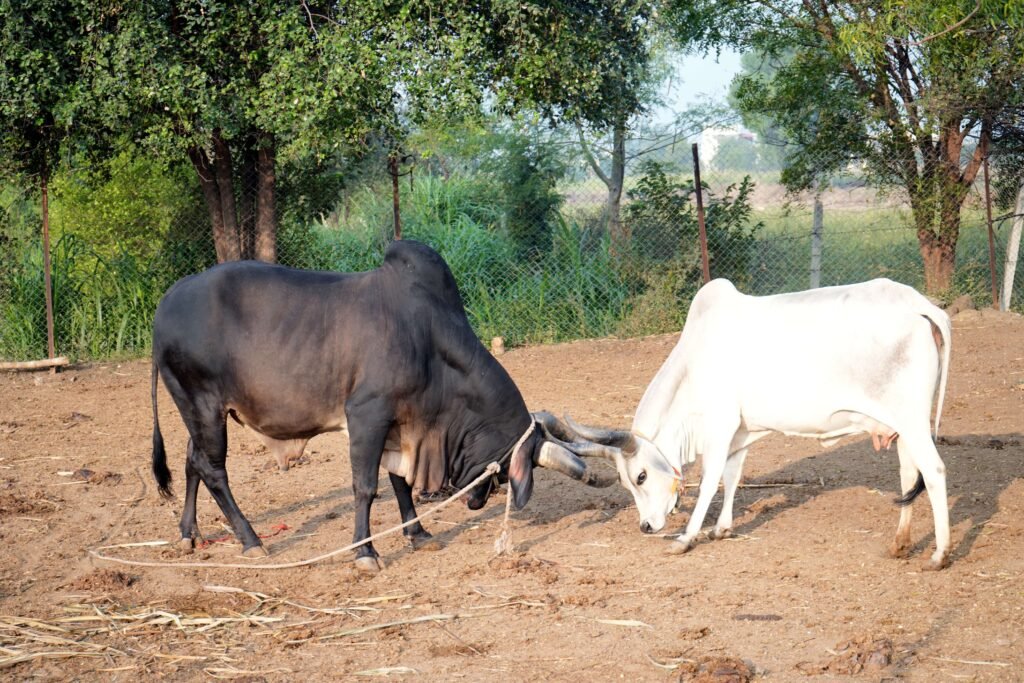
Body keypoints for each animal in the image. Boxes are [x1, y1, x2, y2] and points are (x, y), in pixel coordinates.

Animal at [150, 240, 616, 573]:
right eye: (504, 470)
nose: (476, 502)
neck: (431, 341)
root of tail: (167, 302)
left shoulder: (401, 425)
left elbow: (400, 483)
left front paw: (419, 533)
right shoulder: (367, 416)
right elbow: (366, 487)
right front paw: (365, 553)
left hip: (200, 411)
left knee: (191, 460)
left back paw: (189, 534)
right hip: (203, 404)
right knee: (213, 469)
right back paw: (251, 541)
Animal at [543, 278, 954, 570]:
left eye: (641, 476)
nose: (646, 526)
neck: (693, 364)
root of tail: (921, 307)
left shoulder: (720, 425)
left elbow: (710, 480)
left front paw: (686, 538)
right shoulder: (739, 432)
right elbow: (731, 477)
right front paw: (721, 528)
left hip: (912, 419)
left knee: (933, 472)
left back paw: (940, 554)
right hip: (901, 425)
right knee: (908, 475)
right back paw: (900, 544)